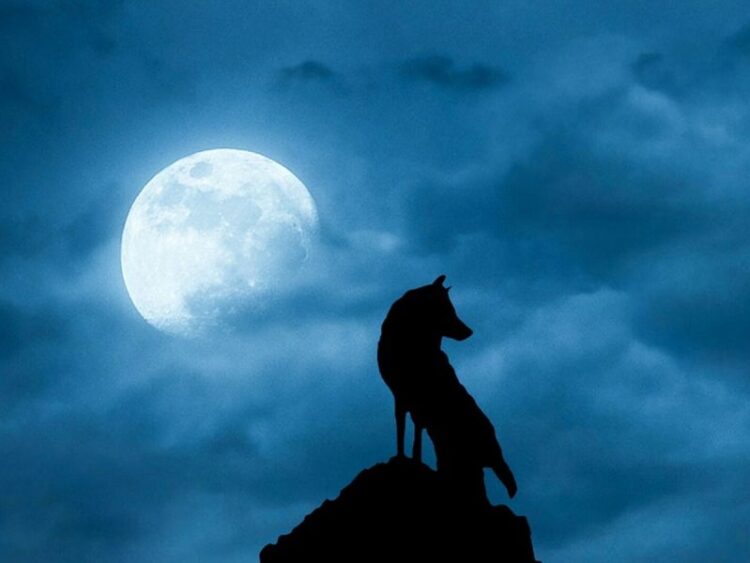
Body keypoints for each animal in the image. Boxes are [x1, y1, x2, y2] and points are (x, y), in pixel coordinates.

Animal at [377, 275, 517, 502]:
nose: (470, 331)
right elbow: (402, 429)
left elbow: (415, 435)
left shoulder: (417, 402)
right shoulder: (400, 396)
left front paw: (414, 460)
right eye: (448, 310)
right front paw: (401, 457)